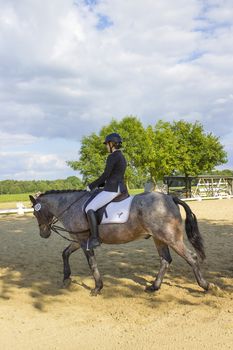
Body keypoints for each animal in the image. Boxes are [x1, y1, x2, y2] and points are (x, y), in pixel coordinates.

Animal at [29, 189, 209, 296]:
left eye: (36, 213)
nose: (43, 233)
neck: (71, 206)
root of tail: (170, 197)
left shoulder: (84, 241)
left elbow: (92, 264)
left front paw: (97, 287)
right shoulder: (77, 240)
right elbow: (65, 253)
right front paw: (66, 278)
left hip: (170, 237)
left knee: (191, 258)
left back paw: (205, 285)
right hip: (159, 238)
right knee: (165, 260)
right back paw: (154, 286)